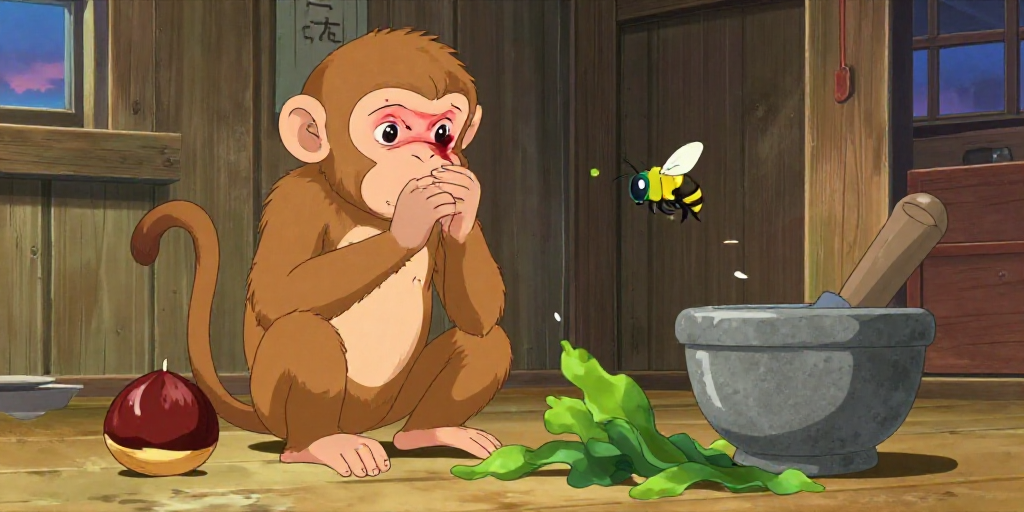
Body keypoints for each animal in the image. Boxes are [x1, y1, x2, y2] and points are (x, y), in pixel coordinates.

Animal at [129, 29, 511, 479]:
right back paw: (318, 445)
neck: (366, 211)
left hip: (394, 404)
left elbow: (481, 312)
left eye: (443, 133)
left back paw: (429, 432)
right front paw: (410, 218)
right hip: (281, 408)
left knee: (485, 340)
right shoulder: (296, 199)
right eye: (389, 133)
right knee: (304, 334)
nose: (427, 156)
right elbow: (277, 290)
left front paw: (462, 203)